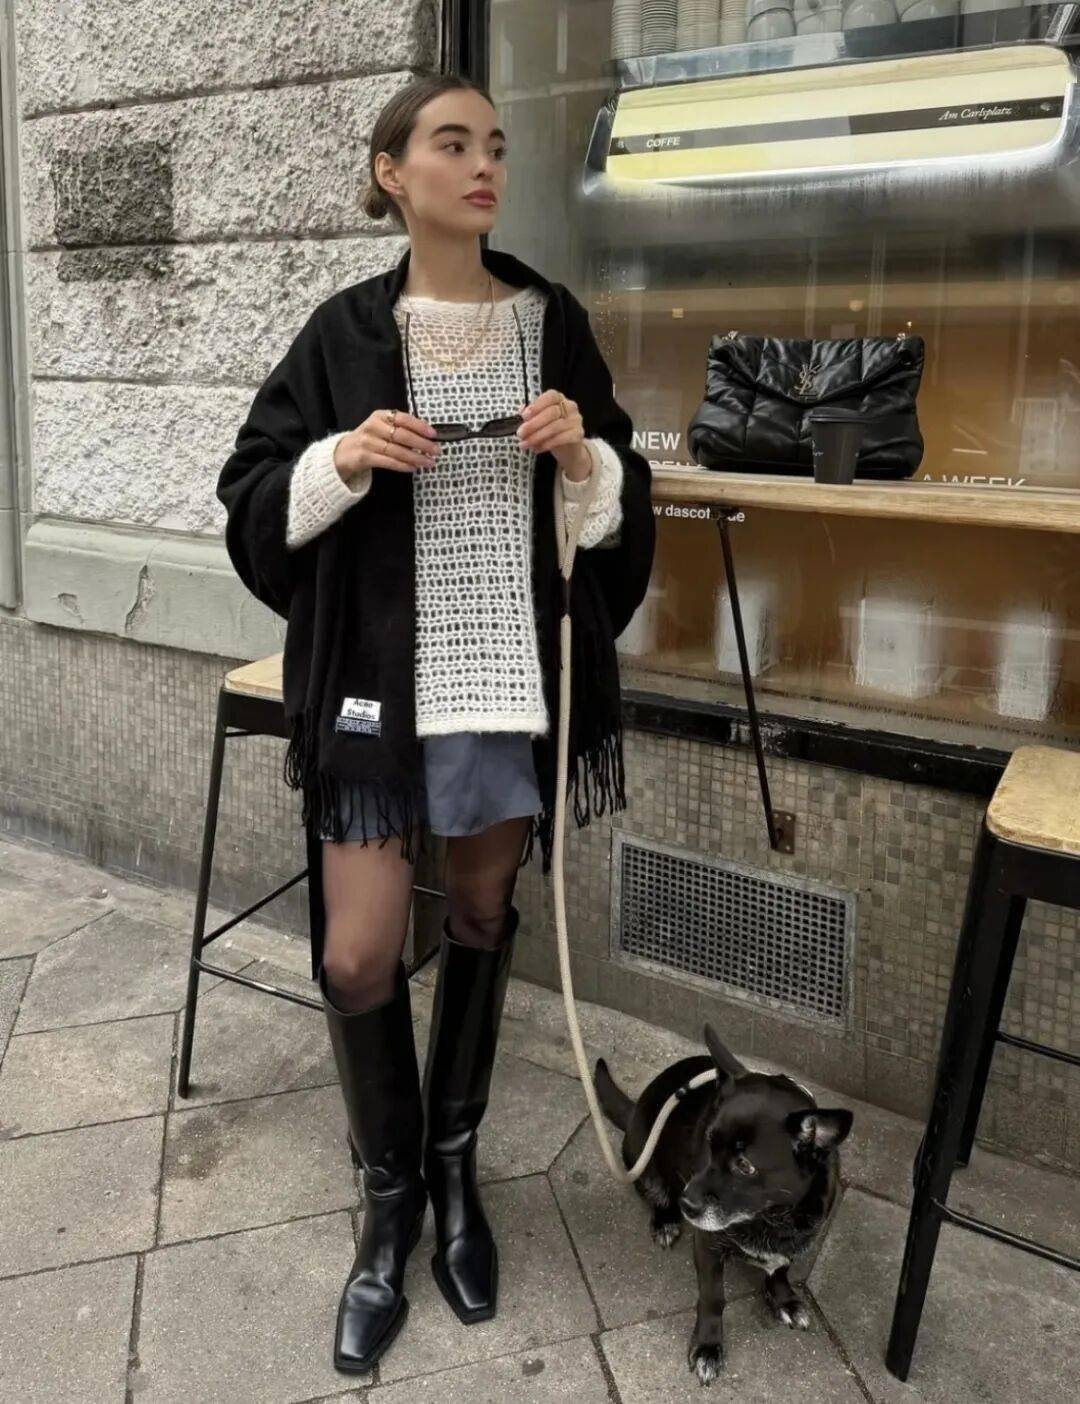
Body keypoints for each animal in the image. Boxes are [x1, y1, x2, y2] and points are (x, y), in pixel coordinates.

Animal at [595, 1023, 853, 1386]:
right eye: (709, 1142)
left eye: (745, 1165)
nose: (687, 1203)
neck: (771, 1215)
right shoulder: (707, 1244)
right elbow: (713, 1298)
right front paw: (708, 1347)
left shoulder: (794, 1241)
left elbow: (781, 1269)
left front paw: (784, 1299)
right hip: (645, 1166)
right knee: (652, 1193)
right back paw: (665, 1219)